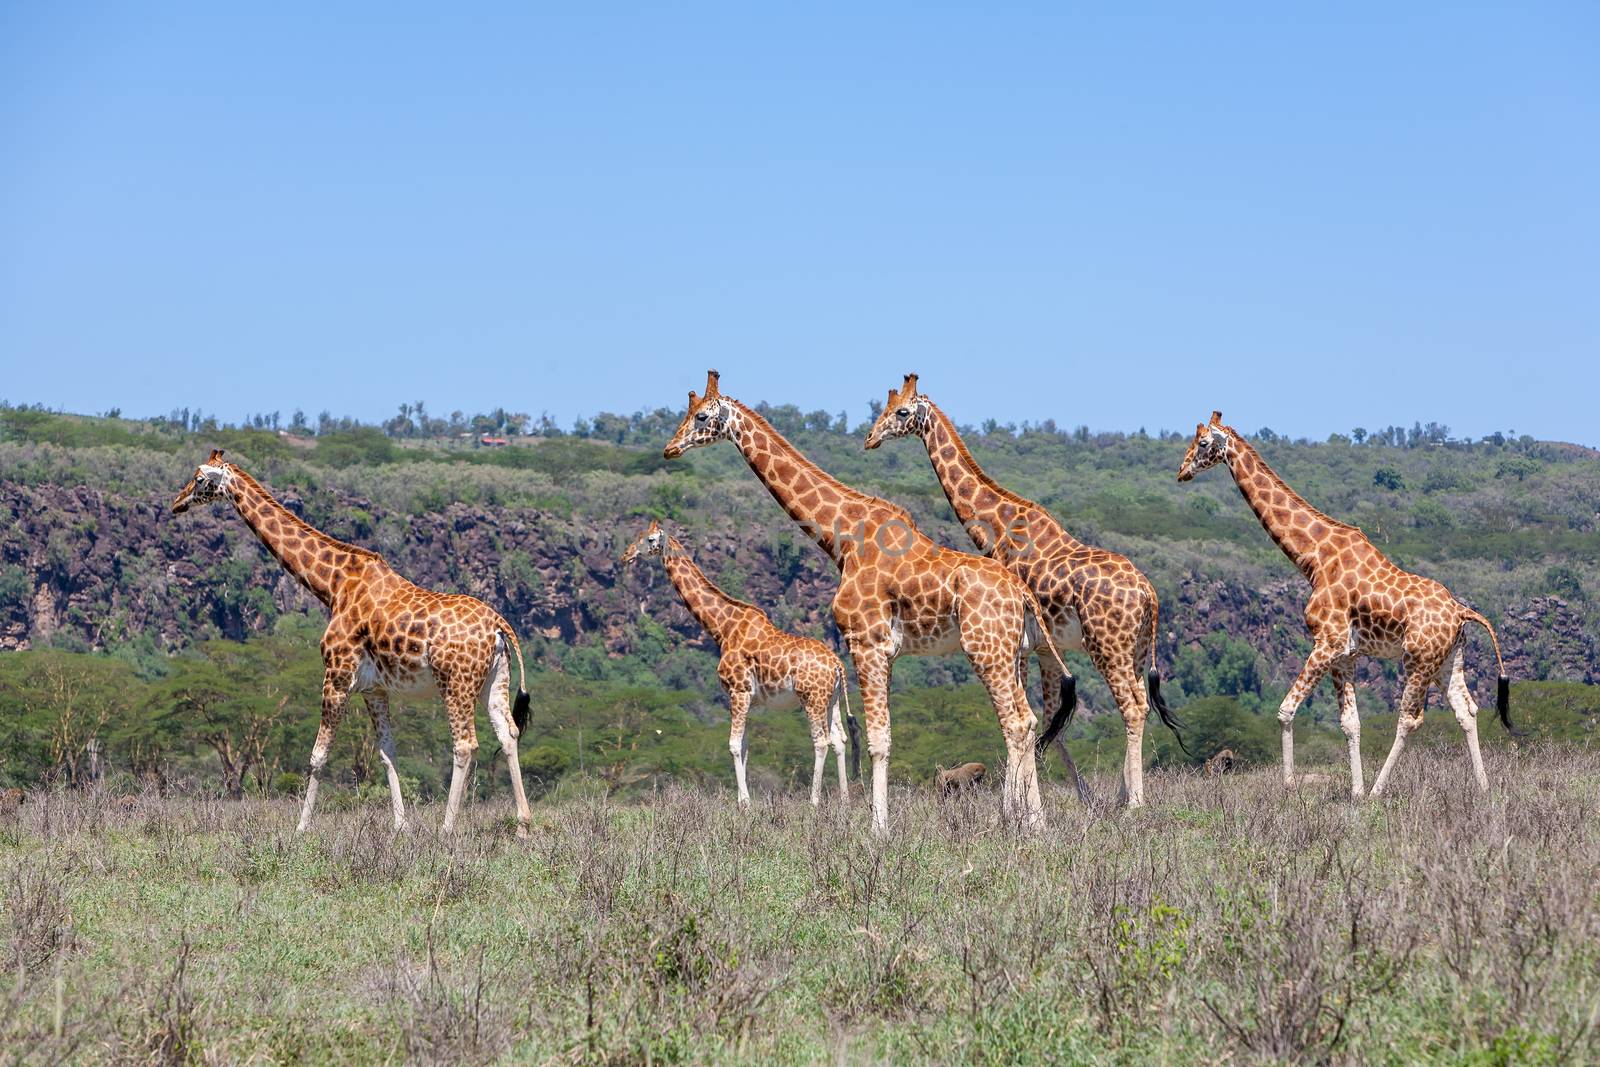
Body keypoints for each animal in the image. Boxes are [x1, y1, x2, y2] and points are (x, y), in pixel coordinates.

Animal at [173, 451, 537, 831]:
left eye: (199, 479)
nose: (176, 503)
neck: (332, 585)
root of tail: (498, 625)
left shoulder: (336, 674)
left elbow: (318, 755)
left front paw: (301, 828)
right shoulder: (373, 688)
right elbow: (388, 753)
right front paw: (401, 827)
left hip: (456, 682)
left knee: (465, 744)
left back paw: (447, 829)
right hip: (494, 680)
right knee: (508, 733)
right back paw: (524, 826)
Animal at [617, 518, 857, 809]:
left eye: (650, 539)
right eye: (638, 535)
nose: (625, 555)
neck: (722, 628)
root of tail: (837, 665)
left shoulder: (738, 691)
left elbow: (732, 744)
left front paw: (744, 803)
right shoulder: (750, 698)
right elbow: (744, 746)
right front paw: (746, 800)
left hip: (811, 698)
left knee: (821, 741)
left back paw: (813, 802)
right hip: (831, 700)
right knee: (839, 740)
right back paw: (844, 801)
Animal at [662, 374, 1075, 831]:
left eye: (701, 416)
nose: (670, 448)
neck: (841, 538)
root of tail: (1022, 593)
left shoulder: (865, 641)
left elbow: (877, 740)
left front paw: (878, 828)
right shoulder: (886, 650)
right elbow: (884, 736)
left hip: (986, 649)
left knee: (1016, 722)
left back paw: (1020, 821)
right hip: (1013, 650)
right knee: (1028, 720)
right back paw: (1032, 821)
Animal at [864, 371, 1190, 806]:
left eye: (901, 411)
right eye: (882, 407)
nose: (870, 438)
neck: (998, 526)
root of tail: (1149, 594)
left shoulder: (1016, 642)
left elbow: (1026, 720)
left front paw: (1017, 803)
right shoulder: (1042, 647)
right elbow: (1051, 720)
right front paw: (1082, 801)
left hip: (1107, 645)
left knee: (1133, 707)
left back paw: (1133, 804)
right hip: (1135, 648)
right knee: (1139, 703)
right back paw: (1123, 796)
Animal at [1177, 412, 1510, 796]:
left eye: (1203, 443)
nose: (1181, 472)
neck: (1312, 557)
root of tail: (1461, 611)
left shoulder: (1327, 642)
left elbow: (1286, 710)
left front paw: (1290, 788)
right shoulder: (1344, 655)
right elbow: (1350, 722)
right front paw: (1355, 792)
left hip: (1418, 659)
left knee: (1410, 719)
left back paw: (1380, 790)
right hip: (1448, 660)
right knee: (1466, 711)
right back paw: (1483, 788)